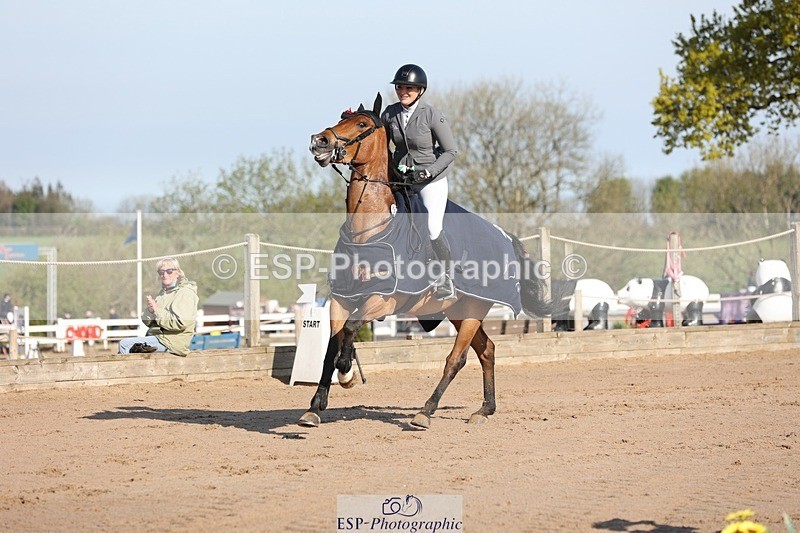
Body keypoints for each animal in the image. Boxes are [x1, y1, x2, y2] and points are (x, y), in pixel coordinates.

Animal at [303, 93, 553, 429]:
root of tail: (505, 238)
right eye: (341, 118)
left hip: (473, 310)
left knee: (456, 359)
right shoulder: (342, 298)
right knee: (487, 350)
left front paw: (346, 371)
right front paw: (315, 406)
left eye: (362, 124)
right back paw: (484, 410)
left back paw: (426, 411)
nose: (320, 141)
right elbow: (333, 342)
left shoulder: (385, 299)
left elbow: (352, 327)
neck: (367, 230)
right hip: (460, 310)